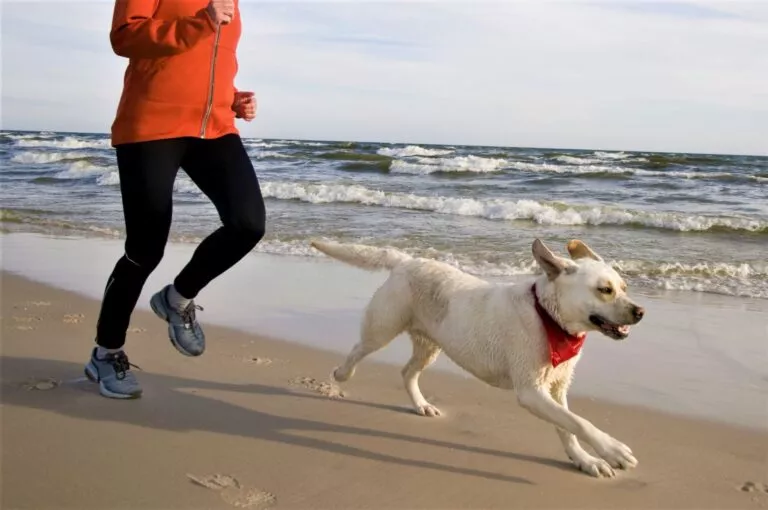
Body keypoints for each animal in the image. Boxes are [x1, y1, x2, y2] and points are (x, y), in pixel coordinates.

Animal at [308, 239, 644, 478]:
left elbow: (568, 426)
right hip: (382, 328)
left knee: (407, 372)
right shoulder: (531, 391)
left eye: (624, 287)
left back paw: (422, 405)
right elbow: (580, 422)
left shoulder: (557, 387)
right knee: (358, 350)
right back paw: (340, 376)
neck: (550, 318)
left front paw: (585, 460)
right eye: (604, 290)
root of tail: (407, 261)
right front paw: (613, 450)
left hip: (430, 346)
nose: (640, 311)